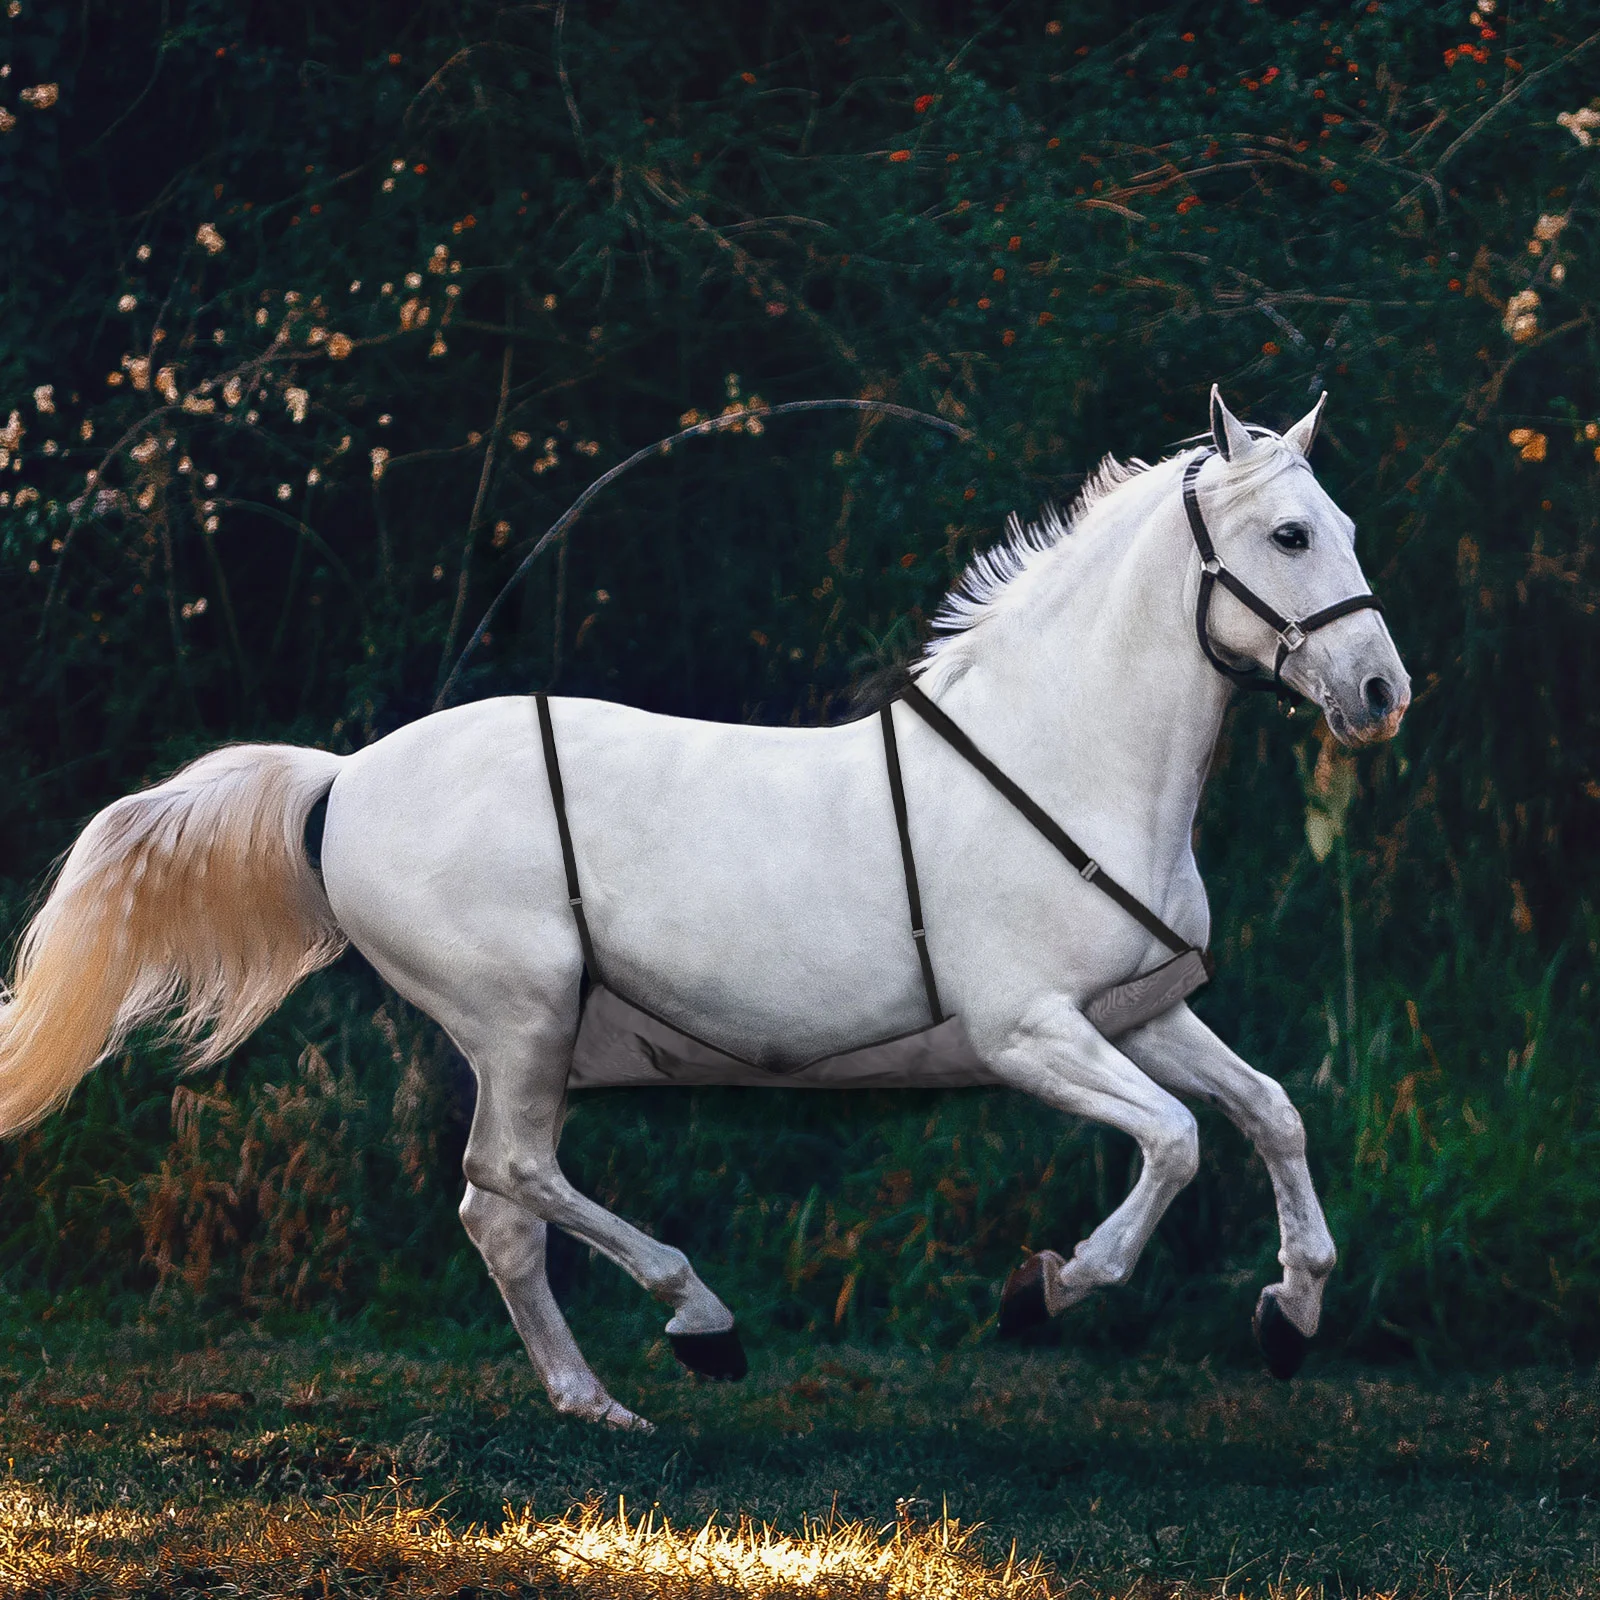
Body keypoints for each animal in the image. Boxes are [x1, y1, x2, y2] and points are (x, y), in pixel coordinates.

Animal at [0, 387, 1408, 1430]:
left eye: (1343, 522)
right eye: (1290, 536)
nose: (1382, 692)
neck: (1060, 763)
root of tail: (343, 778)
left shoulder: (1138, 1012)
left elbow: (1269, 1114)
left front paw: (1291, 1314)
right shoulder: (1029, 1031)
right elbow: (1173, 1142)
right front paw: (1047, 1289)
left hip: (529, 1038)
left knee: (497, 1215)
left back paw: (594, 1399)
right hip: (519, 1017)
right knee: (508, 1176)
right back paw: (699, 1322)